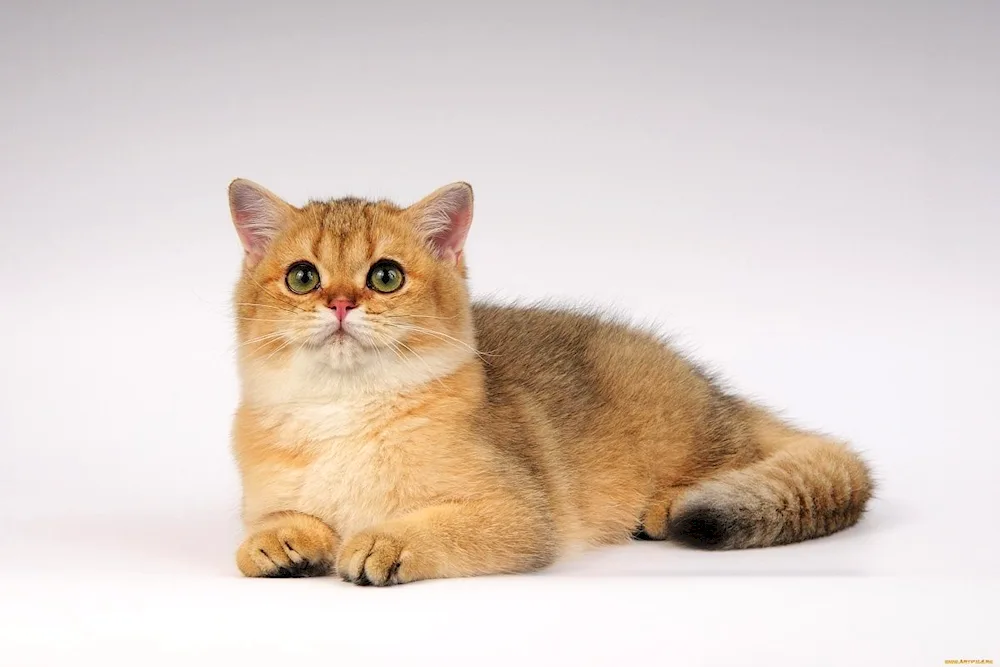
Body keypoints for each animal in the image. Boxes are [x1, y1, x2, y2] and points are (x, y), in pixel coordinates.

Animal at [230, 180, 872, 588]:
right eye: (302, 277)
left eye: (385, 276)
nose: (340, 304)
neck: (340, 409)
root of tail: (724, 396)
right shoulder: (271, 495)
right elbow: (276, 519)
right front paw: (278, 542)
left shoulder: (521, 511)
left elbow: (438, 525)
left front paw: (385, 542)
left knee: (735, 459)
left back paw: (667, 504)